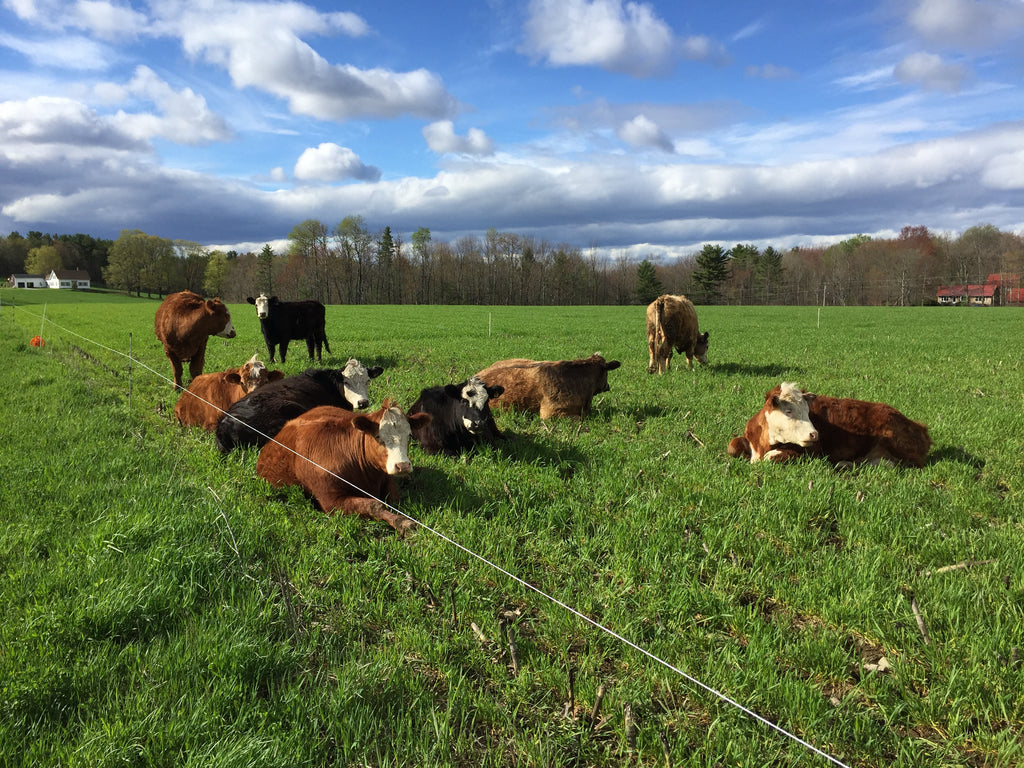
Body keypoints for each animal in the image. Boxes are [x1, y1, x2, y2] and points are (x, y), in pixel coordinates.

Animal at [258, 399, 434, 532]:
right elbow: (374, 505)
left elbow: (392, 501)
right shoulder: (330, 501)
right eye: (378, 436)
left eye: (410, 435)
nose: (402, 465)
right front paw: (402, 522)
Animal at [724, 382, 933, 466]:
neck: (763, 443)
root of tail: (919, 427)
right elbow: (732, 446)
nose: (814, 434)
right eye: (789, 411)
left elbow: (772, 457)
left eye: (808, 411)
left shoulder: (811, 453)